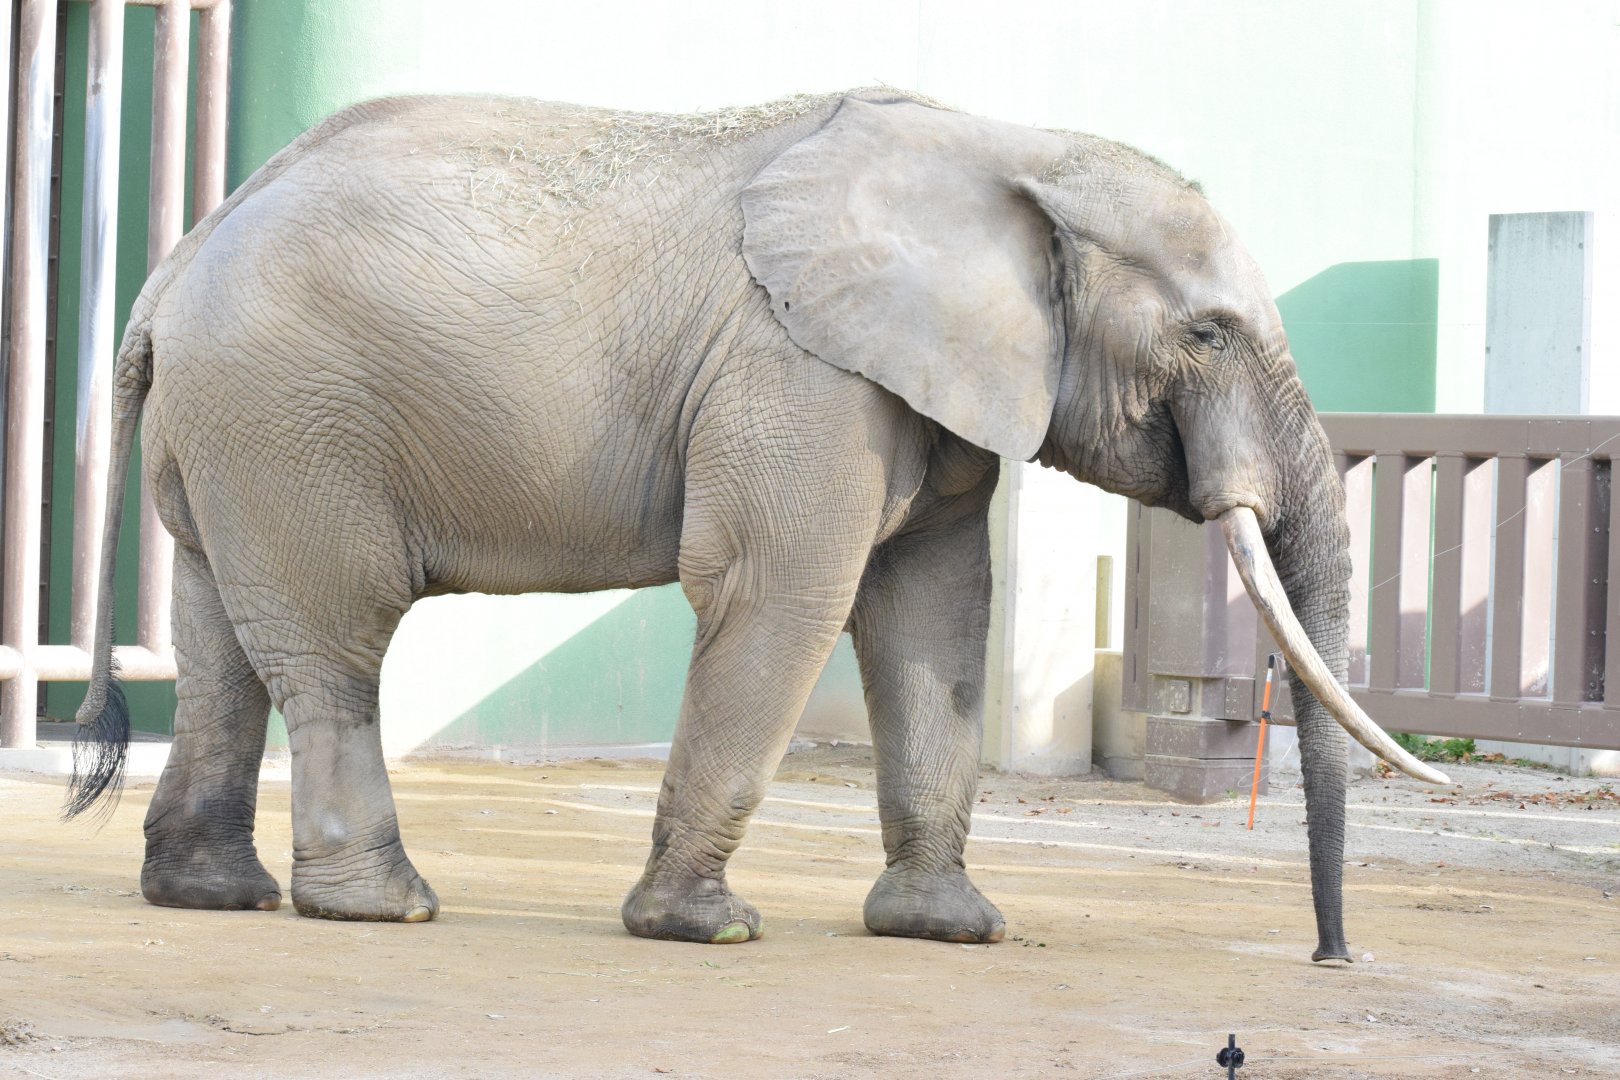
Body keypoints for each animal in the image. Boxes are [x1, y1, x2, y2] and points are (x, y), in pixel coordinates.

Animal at [67, 88, 1446, 961]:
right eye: (1207, 333)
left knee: (220, 644)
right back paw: (386, 908)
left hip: (234, 432)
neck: (1010, 147)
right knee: (336, 640)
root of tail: (167, 273)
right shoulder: (802, 374)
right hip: (293, 418)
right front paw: (704, 931)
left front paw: (954, 932)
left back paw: (209, 895)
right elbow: (777, 592)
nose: (1331, 956)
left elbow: (934, 618)